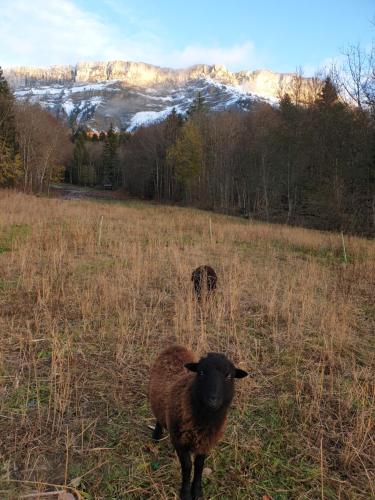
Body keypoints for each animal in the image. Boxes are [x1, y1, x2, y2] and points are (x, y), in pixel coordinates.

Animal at [148, 346, 248, 498]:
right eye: (201, 372)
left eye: (228, 376)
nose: (213, 400)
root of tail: (175, 347)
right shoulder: (179, 441)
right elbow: (187, 466)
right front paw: (185, 493)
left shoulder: (206, 442)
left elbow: (199, 465)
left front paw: (197, 491)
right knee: (159, 418)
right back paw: (156, 437)